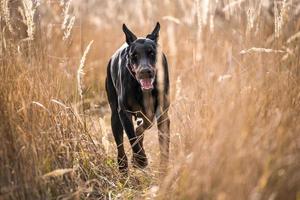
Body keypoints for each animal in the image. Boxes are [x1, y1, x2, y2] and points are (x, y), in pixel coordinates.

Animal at [105, 22, 170, 171]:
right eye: (134, 55)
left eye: (151, 53)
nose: (144, 71)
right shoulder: (124, 112)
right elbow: (132, 136)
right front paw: (141, 160)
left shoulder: (162, 112)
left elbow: (163, 142)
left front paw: (164, 168)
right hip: (114, 115)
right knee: (120, 145)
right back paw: (123, 166)